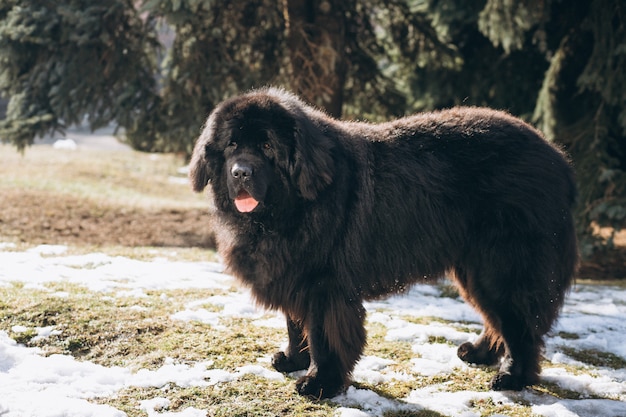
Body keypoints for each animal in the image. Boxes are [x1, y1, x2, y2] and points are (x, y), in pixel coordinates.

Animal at [188, 87, 576, 396]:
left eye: (267, 146)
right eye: (232, 145)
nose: (241, 172)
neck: (290, 207)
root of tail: (558, 157)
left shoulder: (324, 284)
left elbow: (322, 334)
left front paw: (320, 382)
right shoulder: (291, 274)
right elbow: (295, 324)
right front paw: (293, 359)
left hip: (502, 265)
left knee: (520, 325)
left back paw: (512, 376)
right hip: (474, 267)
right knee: (499, 319)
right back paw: (479, 354)